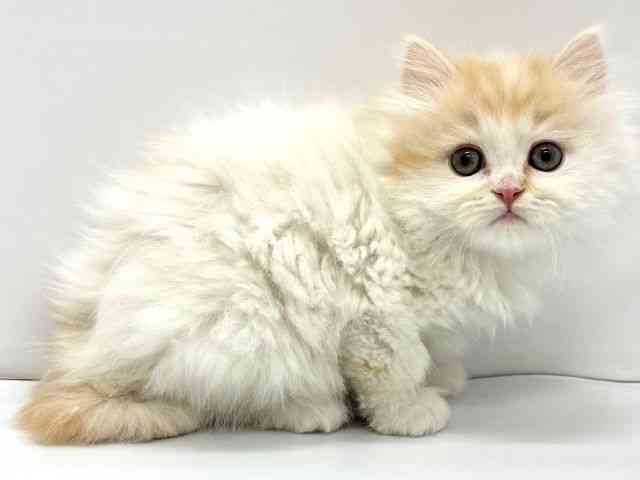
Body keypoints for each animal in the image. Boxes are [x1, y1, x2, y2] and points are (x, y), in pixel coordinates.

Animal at [17, 28, 635, 444]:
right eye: (467, 161)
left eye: (545, 157)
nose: (509, 191)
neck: (403, 205)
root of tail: (78, 345)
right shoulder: (375, 315)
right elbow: (396, 370)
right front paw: (412, 414)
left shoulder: (419, 316)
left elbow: (436, 347)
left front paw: (445, 378)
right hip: (245, 324)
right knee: (228, 397)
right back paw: (311, 410)